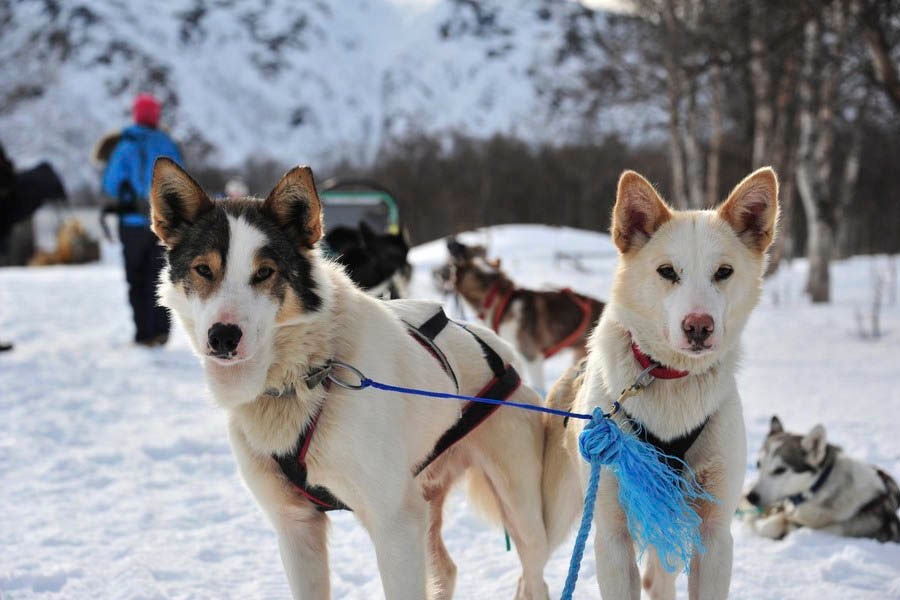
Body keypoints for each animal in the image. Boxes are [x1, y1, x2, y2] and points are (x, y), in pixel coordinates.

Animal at [149, 158, 552, 600]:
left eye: (265, 272)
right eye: (204, 269)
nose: (222, 336)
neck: (308, 377)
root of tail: (501, 350)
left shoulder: (394, 523)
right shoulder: (296, 527)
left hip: (520, 512)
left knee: (533, 577)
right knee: (446, 568)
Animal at [540, 169, 780, 600]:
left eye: (723, 272)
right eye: (667, 271)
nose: (699, 326)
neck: (670, 377)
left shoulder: (714, 535)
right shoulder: (611, 536)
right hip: (556, 514)